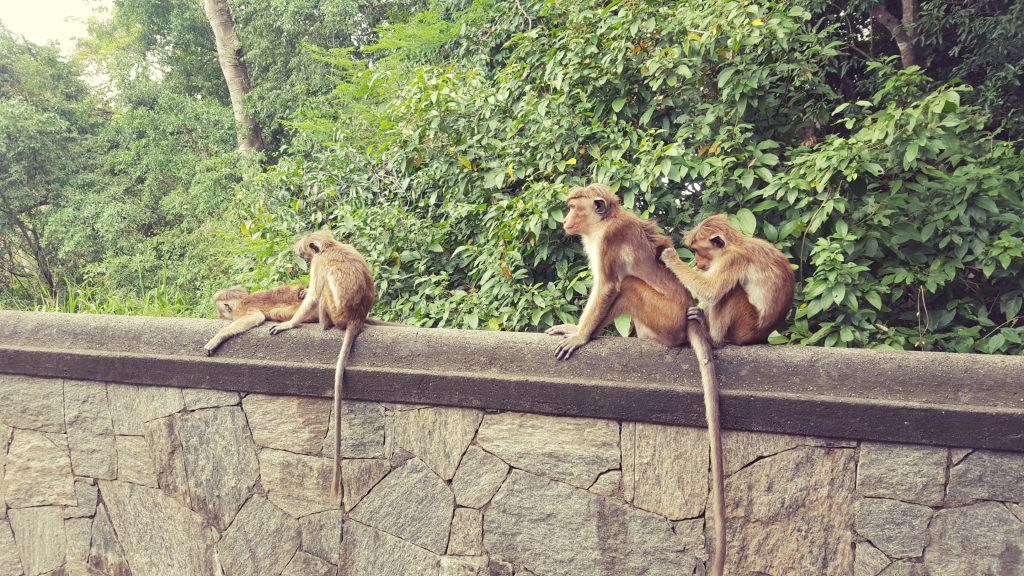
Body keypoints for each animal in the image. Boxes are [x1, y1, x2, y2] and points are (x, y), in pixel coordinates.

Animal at [268, 230, 375, 504]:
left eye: (305, 251)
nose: (302, 257)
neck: (331, 246)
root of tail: (355, 318)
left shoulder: (319, 264)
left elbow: (314, 294)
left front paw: (289, 324)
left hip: (335, 311)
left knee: (324, 292)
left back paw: (323, 325)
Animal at [660, 213, 795, 347]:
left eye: (697, 250)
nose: (697, 262)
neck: (732, 245)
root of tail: (761, 337)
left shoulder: (733, 259)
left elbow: (710, 290)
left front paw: (671, 258)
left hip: (746, 328)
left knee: (730, 293)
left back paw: (714, 340)